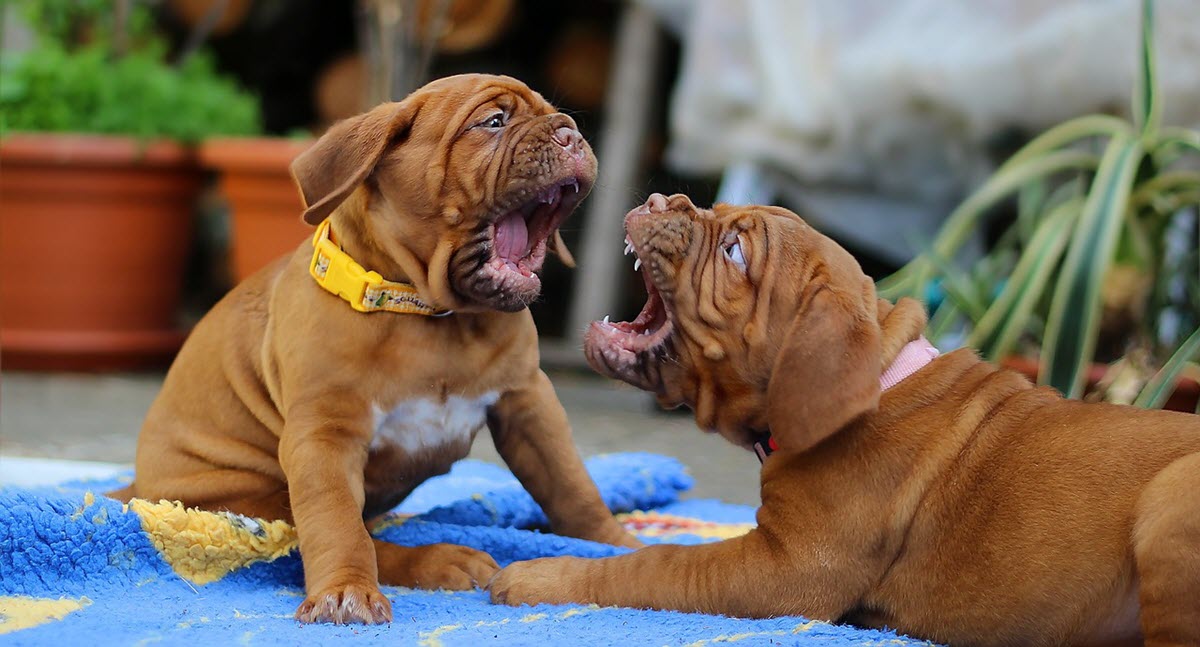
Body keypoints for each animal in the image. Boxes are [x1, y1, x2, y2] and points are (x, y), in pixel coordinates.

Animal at [110, 75, 638, 628]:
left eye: (560, 117)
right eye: (493, 122)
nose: (571, 134)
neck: (433, 316)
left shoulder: (528, 402)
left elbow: (572, 485)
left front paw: (617, 544)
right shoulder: (325, 434)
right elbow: (336, 523)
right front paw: (346, 591)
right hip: (246, 497)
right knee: (317, 537)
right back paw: (440, 559)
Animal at [487, 193, 1200, 647]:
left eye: (735, 252)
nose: (661, 196)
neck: (877, 379)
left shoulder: (784, 570)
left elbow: (654, 567)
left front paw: (539, 577)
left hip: (1171, 498)